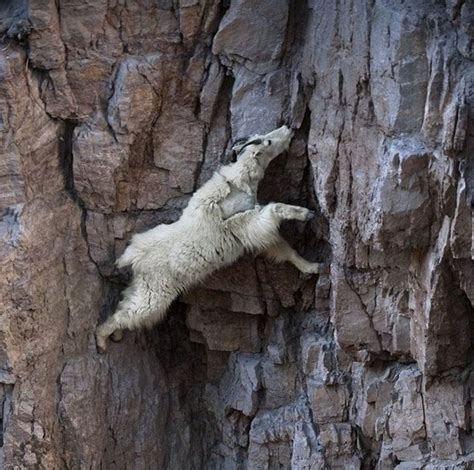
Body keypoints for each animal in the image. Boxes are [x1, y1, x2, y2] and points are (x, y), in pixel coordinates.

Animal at [96, 125, 326, 352]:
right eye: (267, 142)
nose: (288, 128)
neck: (239, 185)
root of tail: (134, 258)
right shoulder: (248, 223)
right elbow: (275, 210)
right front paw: (305, 213)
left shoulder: (256, 229)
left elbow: (283, 248)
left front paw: (313, 266)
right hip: (155, 292)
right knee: (130, 313)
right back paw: (101, 339)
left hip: (143, 286)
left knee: (126, 304)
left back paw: (115, 335)